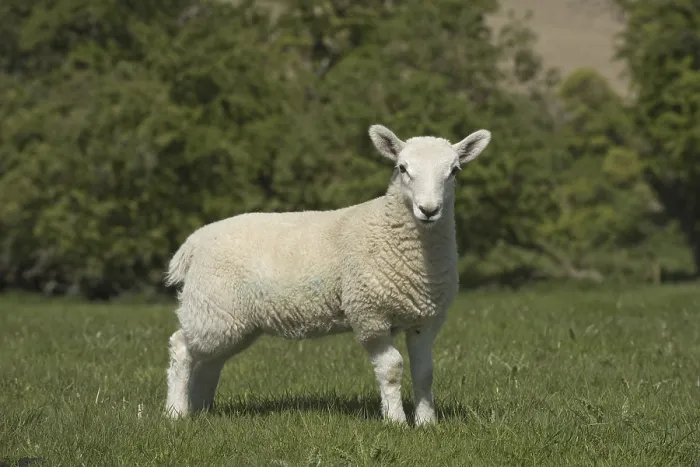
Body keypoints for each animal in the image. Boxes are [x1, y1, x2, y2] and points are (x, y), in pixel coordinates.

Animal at [164, 124, 492, 425]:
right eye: (402, 168)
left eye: (454, 171)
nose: (429, 210)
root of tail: (194, 242)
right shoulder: (369, 314)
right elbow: (392, 369)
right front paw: (396, 421)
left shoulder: (426, 318)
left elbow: (424, 372)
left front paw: (426, 424)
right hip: (212, 306)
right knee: (182, 348)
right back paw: (176, 413)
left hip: (231, 319)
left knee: (210, 361)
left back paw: (202, 411)